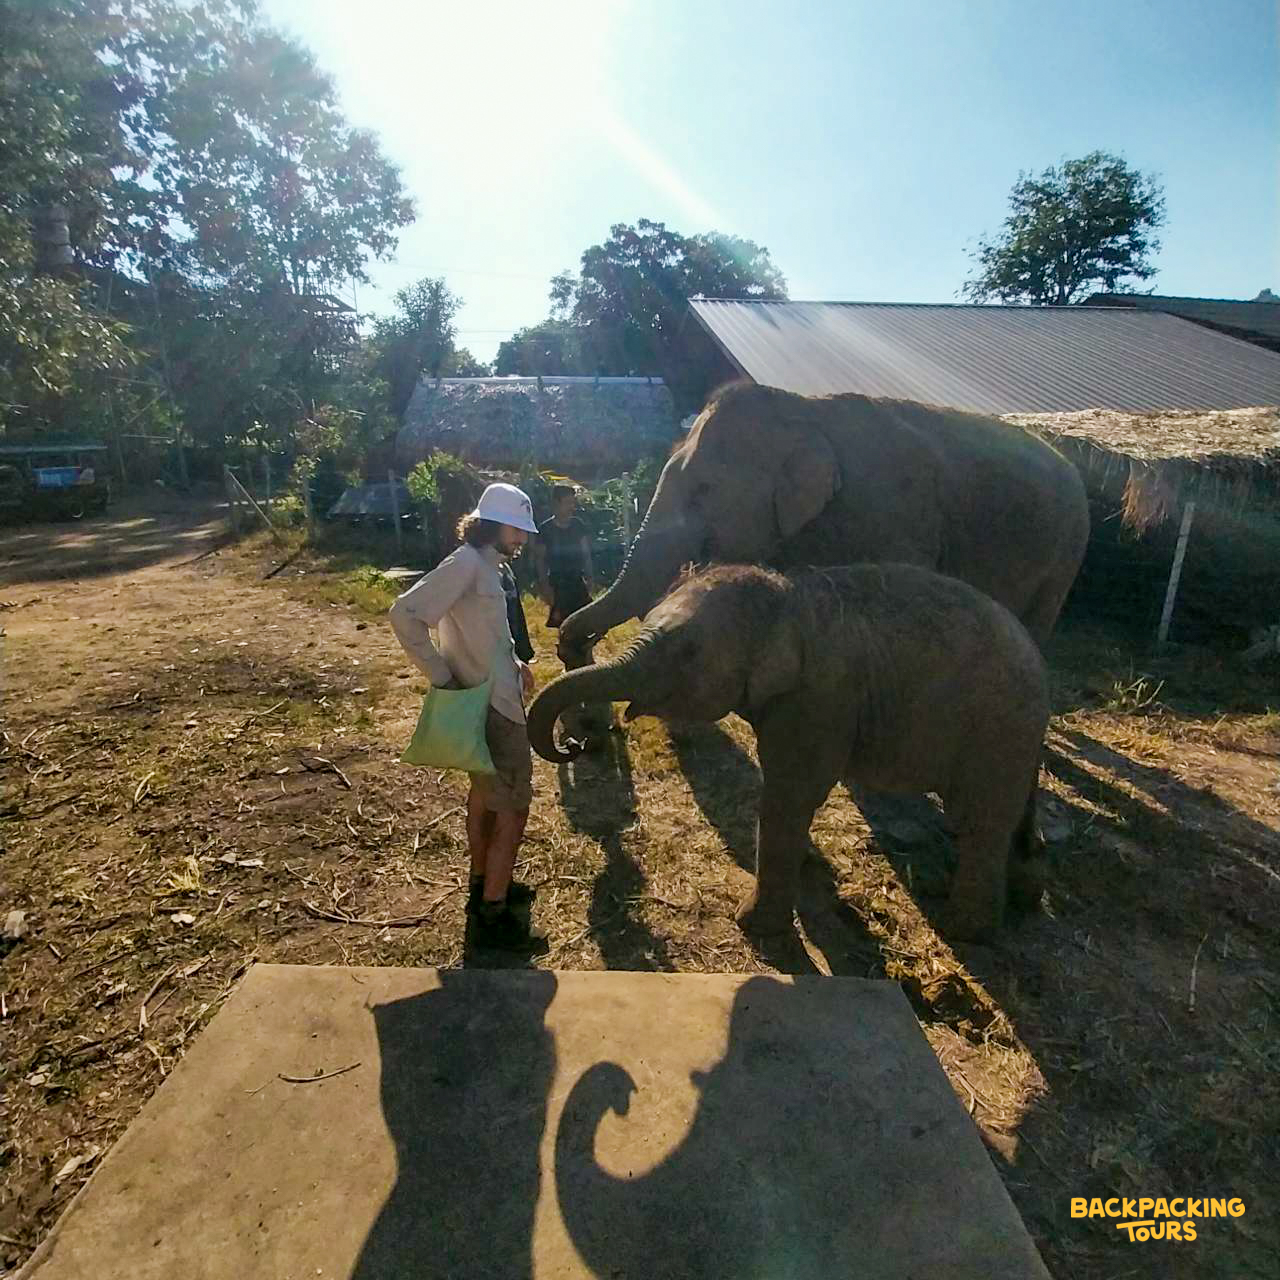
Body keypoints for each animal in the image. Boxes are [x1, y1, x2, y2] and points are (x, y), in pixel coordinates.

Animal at [529, 562, 1051, 941]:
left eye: (688, 653)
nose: (575, 743)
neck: (784, 597)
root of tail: (1037, 654)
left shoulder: (818, 700)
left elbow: (788, 796)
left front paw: (753, 928)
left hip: (998, 727)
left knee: (979, 821)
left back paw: (966, 931)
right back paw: (1021, 897)